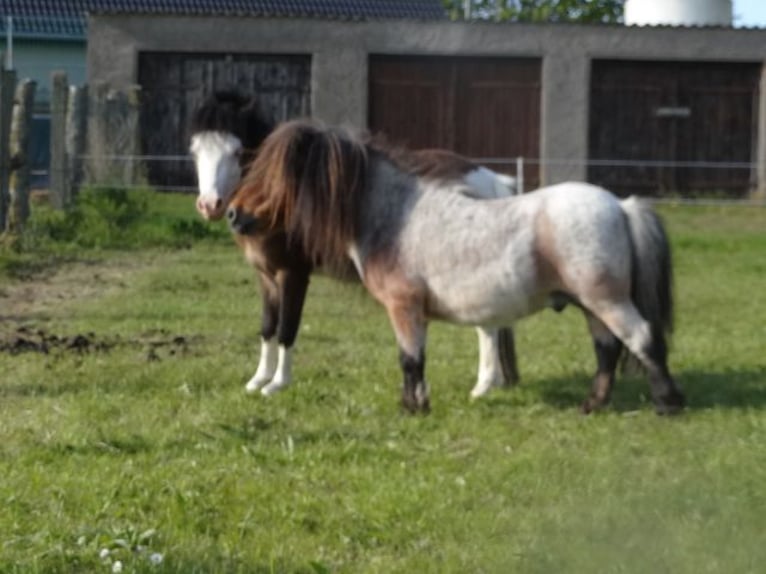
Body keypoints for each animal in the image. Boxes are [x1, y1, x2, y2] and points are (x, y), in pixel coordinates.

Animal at [190, 93, 520, 400]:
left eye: (238, 152)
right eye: (195, 151)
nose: (210, 205)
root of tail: (488, 179)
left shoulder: (293, 275)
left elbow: (286, 328)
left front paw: (277, 384)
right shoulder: (266, 276)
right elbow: (268, 327)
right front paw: (258, 379)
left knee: (487, 327)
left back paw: (482, 387)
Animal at [225, 120, 688, 414]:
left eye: (273, 174)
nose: (232, 213)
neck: (393, 215)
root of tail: (621, 206)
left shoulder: (404, 308)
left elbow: (410, 359)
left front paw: (413, 408)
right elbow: (413, 360)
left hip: (607, 300)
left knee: (643, 339)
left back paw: (668, 403)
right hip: (592, 306)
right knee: (607, 350)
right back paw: (591, 405)